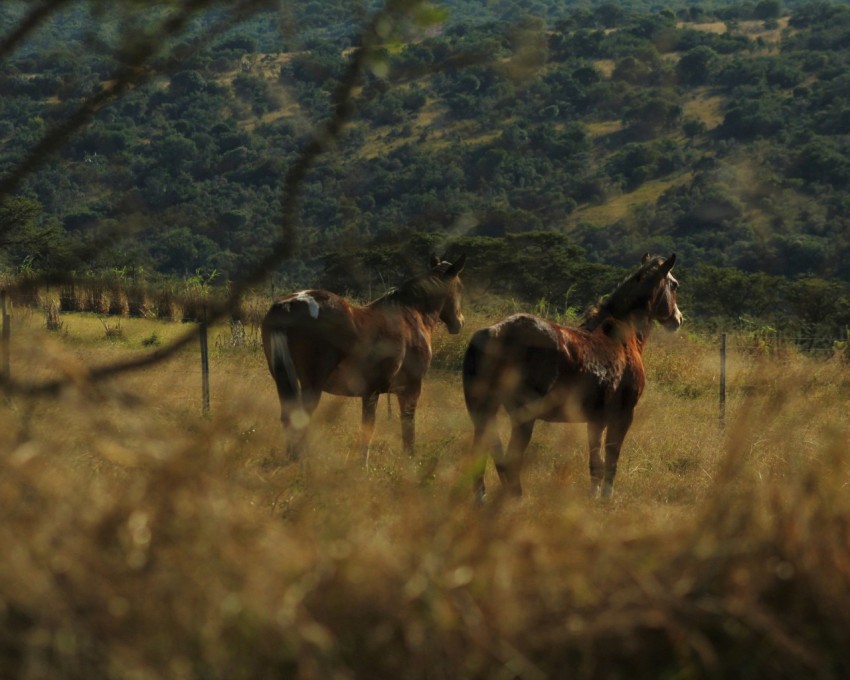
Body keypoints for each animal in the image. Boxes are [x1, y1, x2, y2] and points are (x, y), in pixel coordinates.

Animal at [264, 255, 468, 468]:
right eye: (460, 287)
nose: (459, 323)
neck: (411, 315)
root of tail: (287, 305)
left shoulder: (370, 393)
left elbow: (367, 427)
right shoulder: (410, 389)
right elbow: (406, 428)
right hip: (311, 385)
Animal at [460, 252, 680, 502]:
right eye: (674, 285)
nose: (678, 319)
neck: (623, 336)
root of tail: (493, 333)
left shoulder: (596, 419)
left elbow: (595, 462)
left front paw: (593, 496)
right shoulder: (623, 415)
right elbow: (612, 457)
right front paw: (606, 497)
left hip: (484, 409)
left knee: (481, 450)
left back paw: (481, 498)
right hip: (522, 416)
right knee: (511, 458)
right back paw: (516, 499)